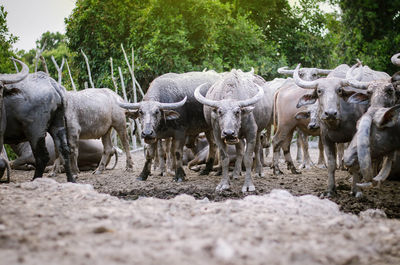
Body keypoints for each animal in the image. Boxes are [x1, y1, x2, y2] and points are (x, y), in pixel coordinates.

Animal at [294, 61, 390, 194]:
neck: (338, 123)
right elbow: (331, 163)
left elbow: (355, 163)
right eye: (319, 91)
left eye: (339, 90)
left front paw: (356, 190)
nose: (330, 113)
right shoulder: (326, 138)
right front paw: (330, 189)